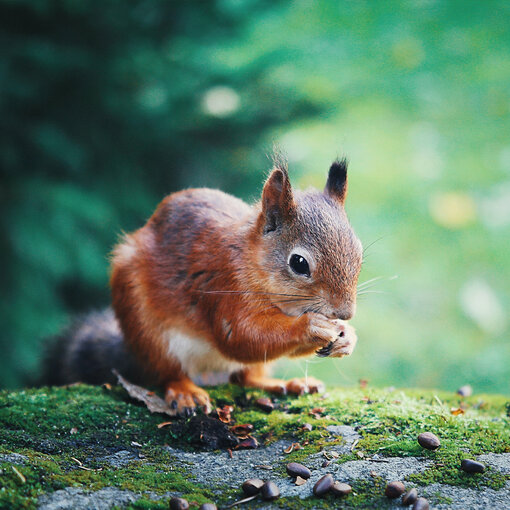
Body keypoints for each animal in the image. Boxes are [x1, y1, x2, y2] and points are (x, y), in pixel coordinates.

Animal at [44, 157, 362, 416]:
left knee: (248, 376)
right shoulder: (224, 286)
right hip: (148, 332)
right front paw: (311, 326)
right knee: (168, 372)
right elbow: (242, 337)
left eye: (359, 251)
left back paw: (283, 383)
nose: (345, 313)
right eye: (298, 263)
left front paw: (347, 337)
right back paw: (186, 393)